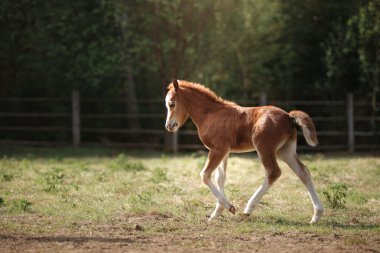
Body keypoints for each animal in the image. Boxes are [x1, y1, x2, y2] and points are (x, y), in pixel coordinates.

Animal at [164, 79, 324, 223]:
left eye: (172, 103)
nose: (169, 126)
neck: (210, 114)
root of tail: (289, 116)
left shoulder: (217, 150)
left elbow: (205, 175)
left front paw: (229, 207)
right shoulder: (225, 151)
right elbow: (220, 178)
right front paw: (216, 213)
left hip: (264, 148)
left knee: (273, 172)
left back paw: (248, 209)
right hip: (285, 151)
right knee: (303, 172)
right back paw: (316, 216)